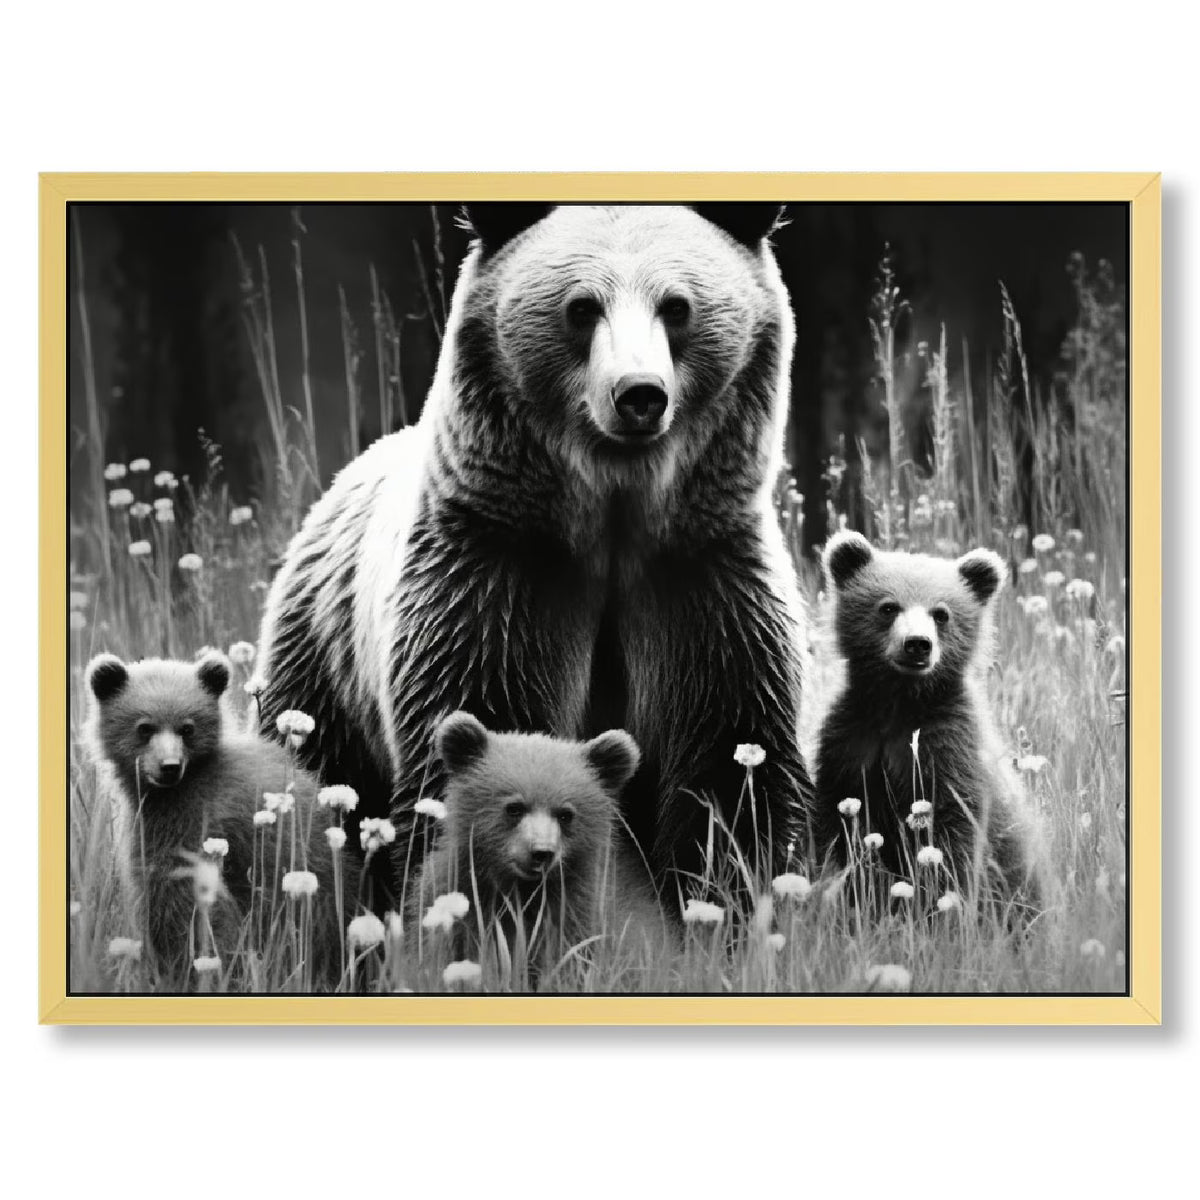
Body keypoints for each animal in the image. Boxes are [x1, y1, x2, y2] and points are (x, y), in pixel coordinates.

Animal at [256, 203, 813, 910]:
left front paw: (726, 896)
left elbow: (730, 764)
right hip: (323, 667)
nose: (639, 393)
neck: (615, 516)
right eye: (581, 307)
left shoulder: (703, 580)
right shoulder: (499, 575)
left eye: (677, 305)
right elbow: (490, 725)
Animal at [407, 711, 671, 984]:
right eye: (514, 808)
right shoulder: (455, 896)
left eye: (565, 814)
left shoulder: (582, 913)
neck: (523, 892)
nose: (541, 852)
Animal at [811, 532, 1044, 912]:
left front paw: (939, 902)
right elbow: (842, 826)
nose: (917, 644)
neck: (900, 702)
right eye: (888, 607)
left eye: (941, 613)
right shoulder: (851, 739)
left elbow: (953, 833)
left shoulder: (948, 745)